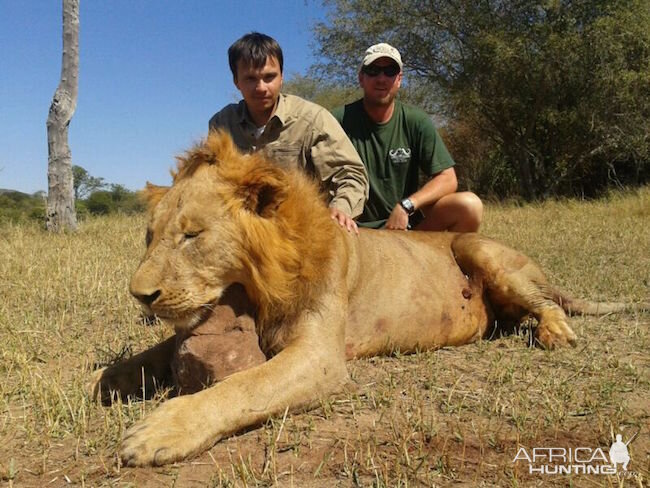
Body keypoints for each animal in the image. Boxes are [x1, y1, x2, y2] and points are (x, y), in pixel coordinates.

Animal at [88, 130, 640, 466]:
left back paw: (554, 332)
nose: (141, 295)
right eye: (150, 236)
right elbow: (149, 356)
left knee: (547, 302)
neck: (259, 287)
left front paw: (158, 432)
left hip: (476, 246)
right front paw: (106, 381)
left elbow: (240, 386)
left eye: (192, 235)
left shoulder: (319, 357)